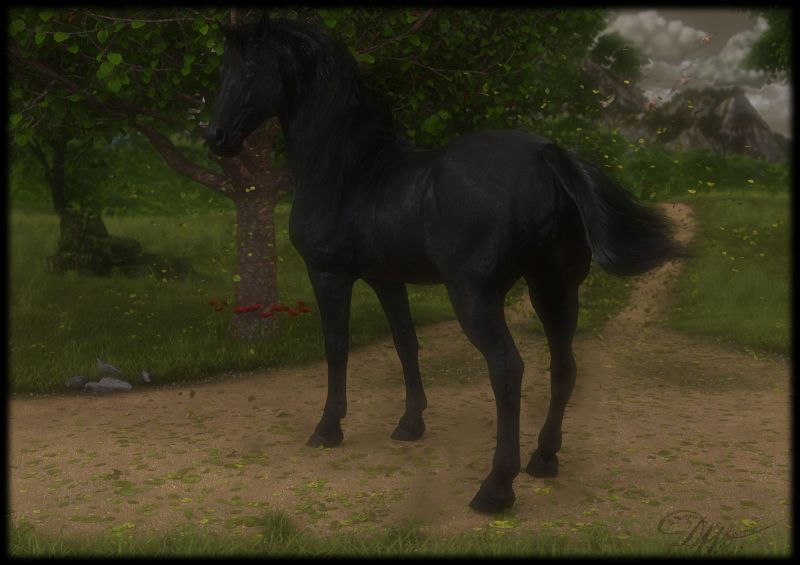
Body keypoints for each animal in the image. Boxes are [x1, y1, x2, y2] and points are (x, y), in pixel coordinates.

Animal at [205, 15, 683, 513]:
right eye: (222, 71)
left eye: (251, 70)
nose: (216, 138)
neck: (347, 170)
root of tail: (544, 155)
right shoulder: (386, 279)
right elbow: (406, 343)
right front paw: (410, 424)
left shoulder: (329, 275)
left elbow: (336, 347)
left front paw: (327, 428)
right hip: (553, 288)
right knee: (563, 366)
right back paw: (544, 458)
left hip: (475, 296)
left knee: (507, 369)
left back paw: (495, 488)